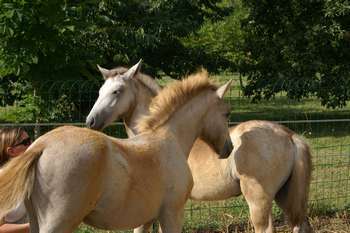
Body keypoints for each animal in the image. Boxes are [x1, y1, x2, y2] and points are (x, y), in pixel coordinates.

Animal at [0, 62, 232, 233]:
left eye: (115, 91)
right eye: (226, 113)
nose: (228, 148)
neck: (170, 138)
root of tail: (41, 145)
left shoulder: (145, 219)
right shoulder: (172, 214)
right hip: (58, 223)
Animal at [86, 62, 314, 233]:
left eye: (117, 91)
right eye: (99, 91)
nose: (91, 121)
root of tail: (290, 135)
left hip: (259, 201)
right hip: (285, 196)